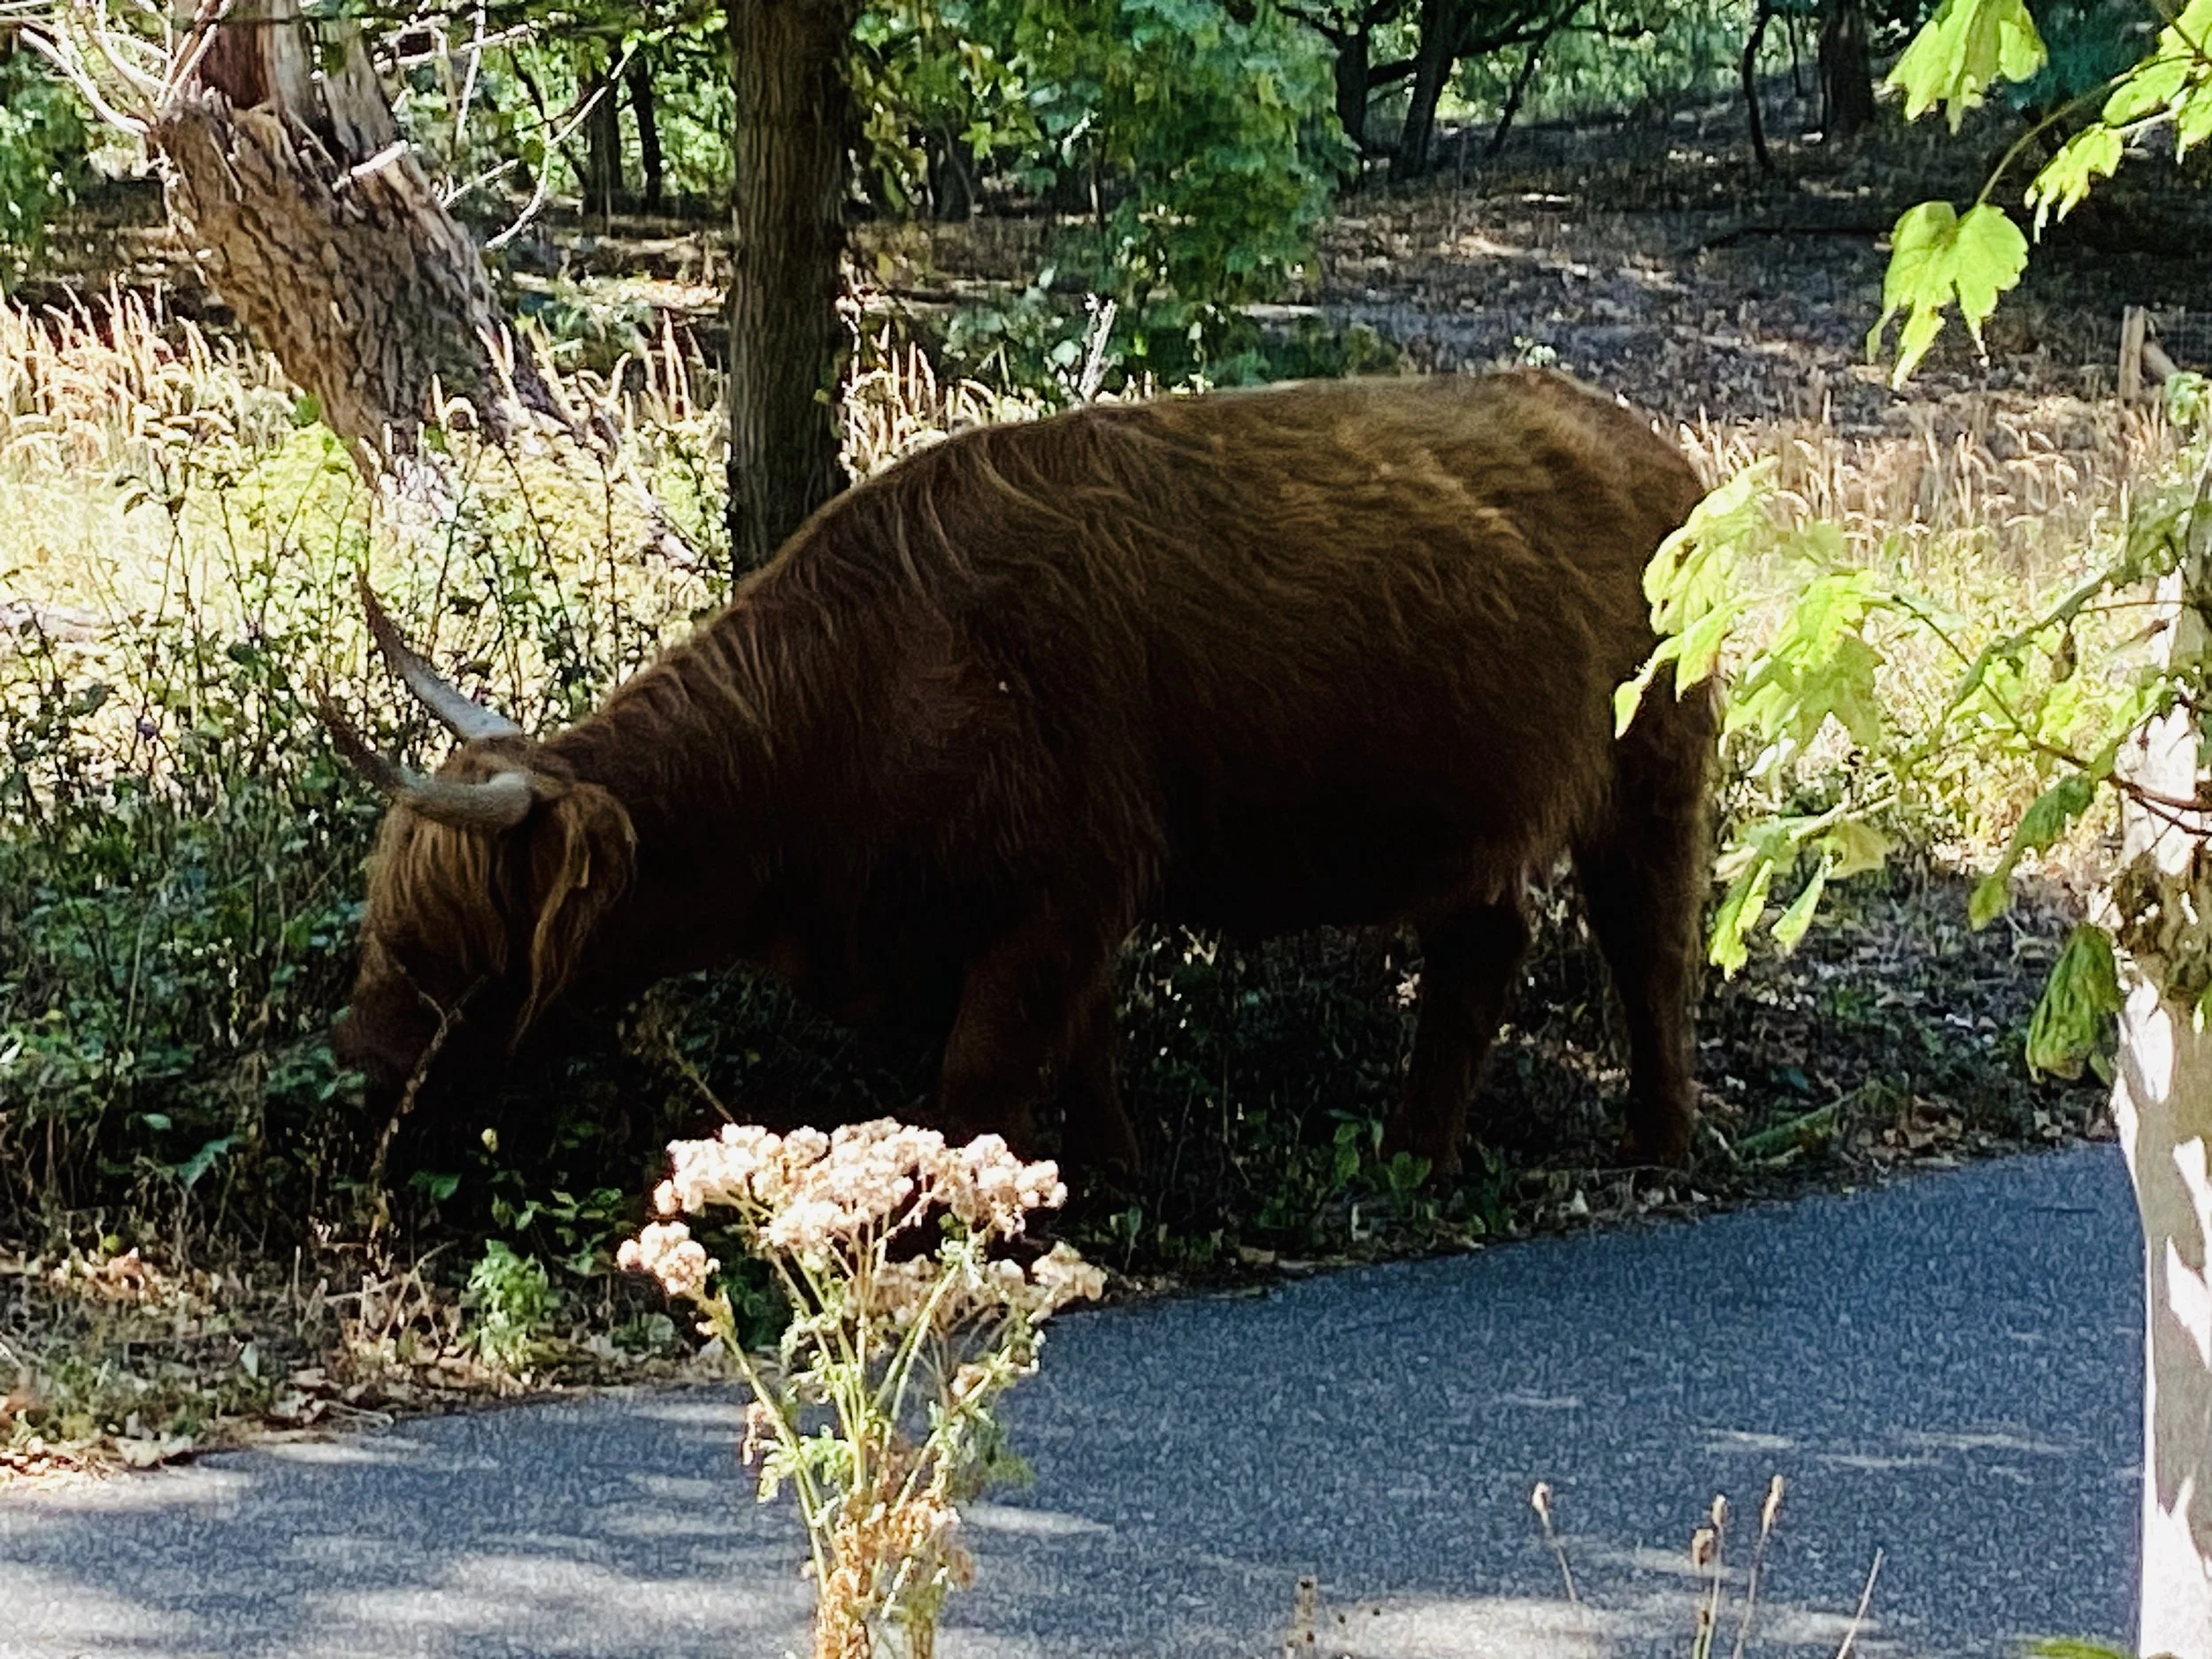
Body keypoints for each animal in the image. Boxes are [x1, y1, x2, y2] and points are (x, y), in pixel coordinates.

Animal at [324, 370, 1715, 1180]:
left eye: (453, 940)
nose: (352, 1060)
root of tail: (1641, 436)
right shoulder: (1054, 908)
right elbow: (1080, 1050)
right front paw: (1111, 1179)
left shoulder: (1061, 890)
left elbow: (978, 1077)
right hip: (1461, 807)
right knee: (1484, 943)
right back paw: (1413, 1155)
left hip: (1652, 771)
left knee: (1649, 944)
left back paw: (1655, 1144)